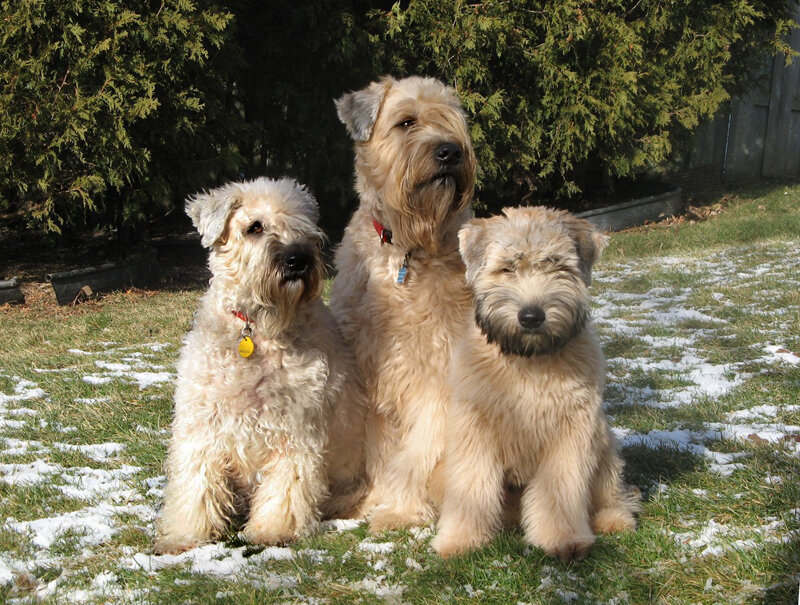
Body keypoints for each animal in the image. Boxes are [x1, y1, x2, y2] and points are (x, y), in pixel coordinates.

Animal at [155, 176, 368, 552]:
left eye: (302, 223)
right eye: (254, 227)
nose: (298, 259)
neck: (258, 329)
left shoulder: (296, 429)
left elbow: (286, 487)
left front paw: (273, 531)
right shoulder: (202, 426)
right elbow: (196, 486)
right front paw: (184, 535)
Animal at [428, 205, 640, 560]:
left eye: (556, 265)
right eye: (507, 268)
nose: (531, 317)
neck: (528, 363)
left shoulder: (571, 430)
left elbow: (561, 490)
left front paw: (562, 538)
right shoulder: (475, 430)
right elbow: (472, 487)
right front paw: (461, 540)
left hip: (605, 446)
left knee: (609, 494)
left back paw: (613, 519)